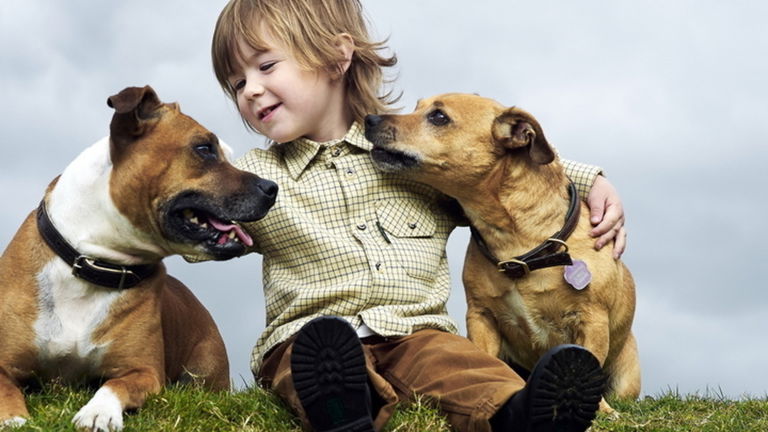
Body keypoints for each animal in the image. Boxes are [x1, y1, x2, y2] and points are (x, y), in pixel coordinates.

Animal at [0, 86, 276, 430]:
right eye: (204, 149)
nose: (272, 187)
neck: (93, 262)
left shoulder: (143, 371)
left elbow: (114, 384)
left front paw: (98, 411)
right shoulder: (3, 363)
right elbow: (5, 388)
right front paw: (13, 419)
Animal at [364, 93, 640, 412]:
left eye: (439, 117)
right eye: (417, 107)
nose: (369, 119)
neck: (517, 243)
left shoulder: (591, 319)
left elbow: (590, 363)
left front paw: (600, 410)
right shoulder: (481, 317)